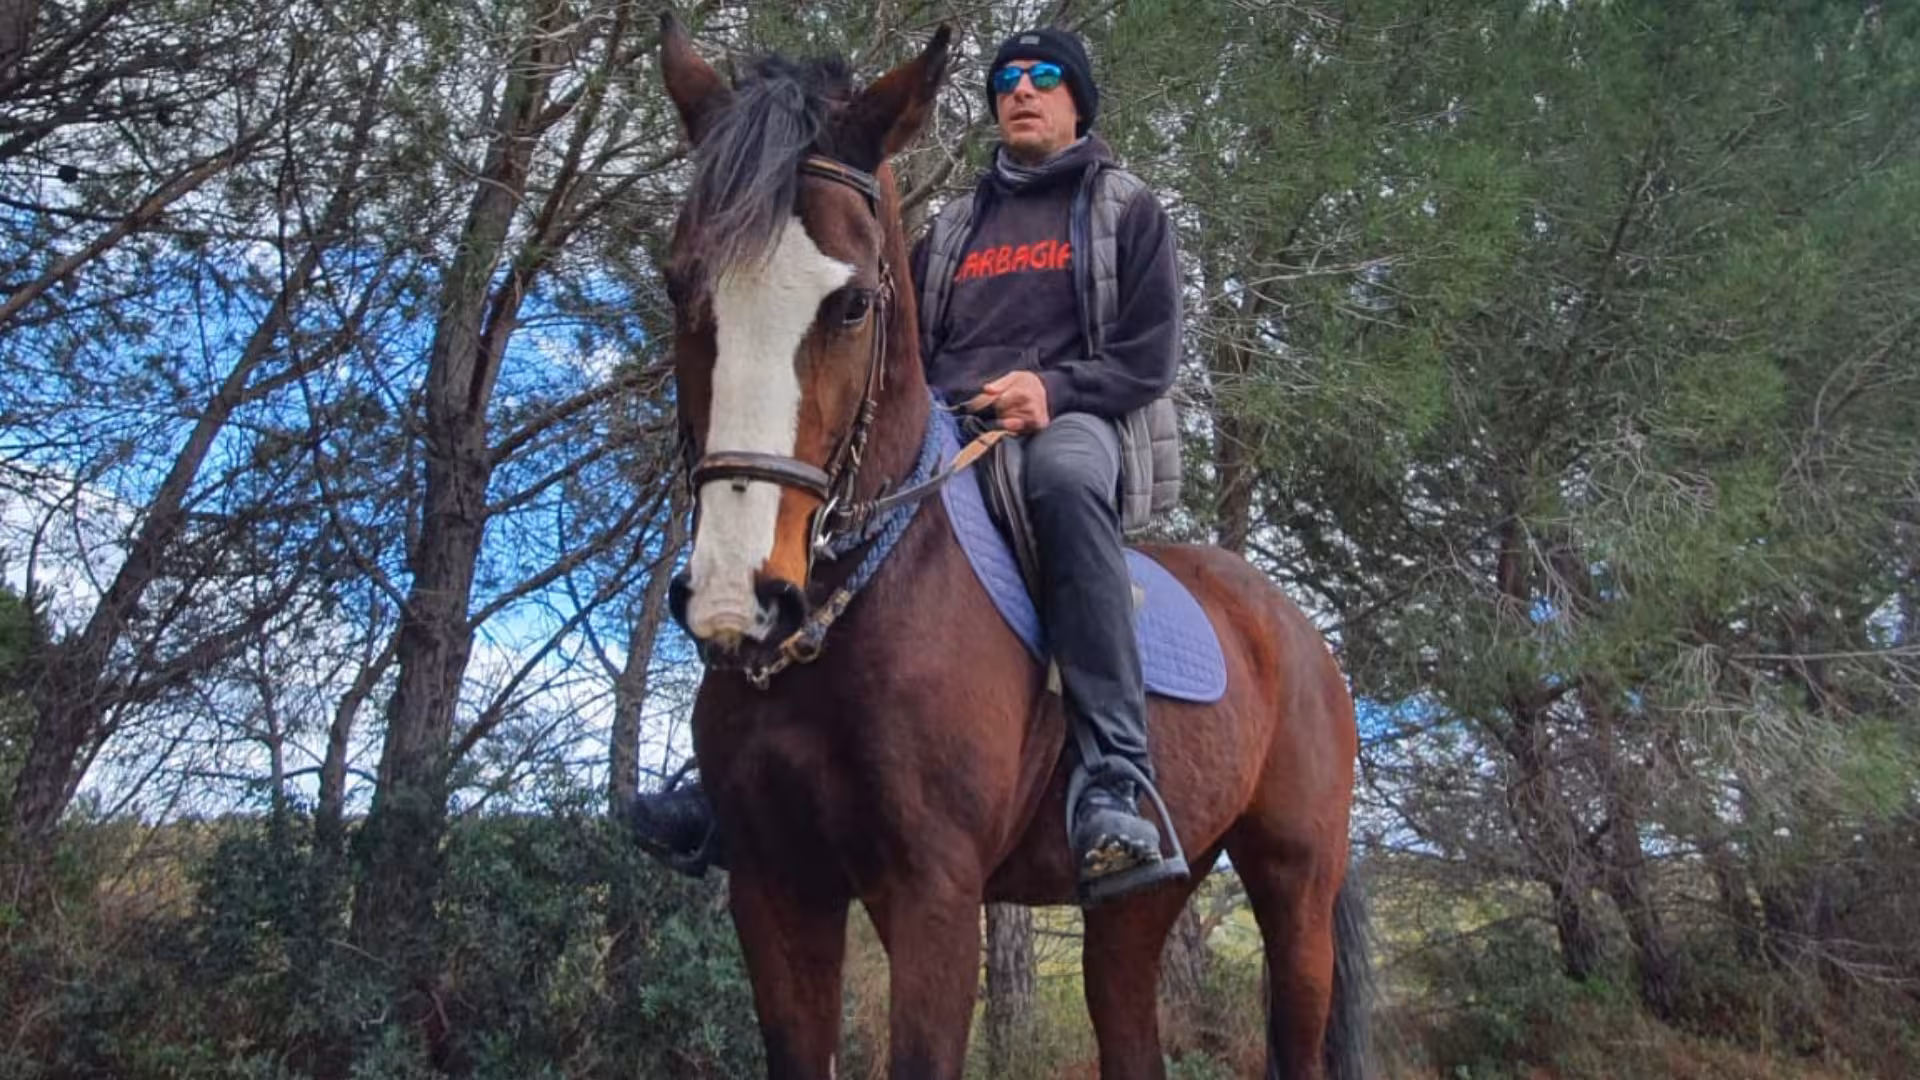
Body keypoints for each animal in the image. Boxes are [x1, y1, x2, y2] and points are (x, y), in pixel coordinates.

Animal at [655, 16, 1369, 1080]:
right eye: (679, 285)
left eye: (853, 305)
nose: (740, 602)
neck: (845, 619)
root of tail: (1295, 630)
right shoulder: (775, 889)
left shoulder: (934, 897)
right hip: (1141, 903)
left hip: (1297, 890)